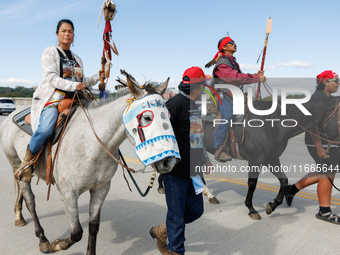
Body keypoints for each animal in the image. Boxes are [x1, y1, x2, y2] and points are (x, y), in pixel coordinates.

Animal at [0, 72, 177, 255]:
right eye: (147, 117)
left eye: (169, 116)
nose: (168, 161)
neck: (92, 145)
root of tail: (12, 115)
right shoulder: (68, 193)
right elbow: (76, 232)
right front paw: (56, 244)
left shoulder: (101, 189)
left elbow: (93, 226)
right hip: (15, 162)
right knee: (30, 199)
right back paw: (42, 239)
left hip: (22, 171)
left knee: (22, 186)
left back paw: (19, 217)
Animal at [203, 97, 338, 219]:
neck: (271, 125)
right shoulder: (256, 159)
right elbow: (252, 183)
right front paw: (251, 209)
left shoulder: (271, 158)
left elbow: (284, 181)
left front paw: (272, 206)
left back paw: (209, 195)